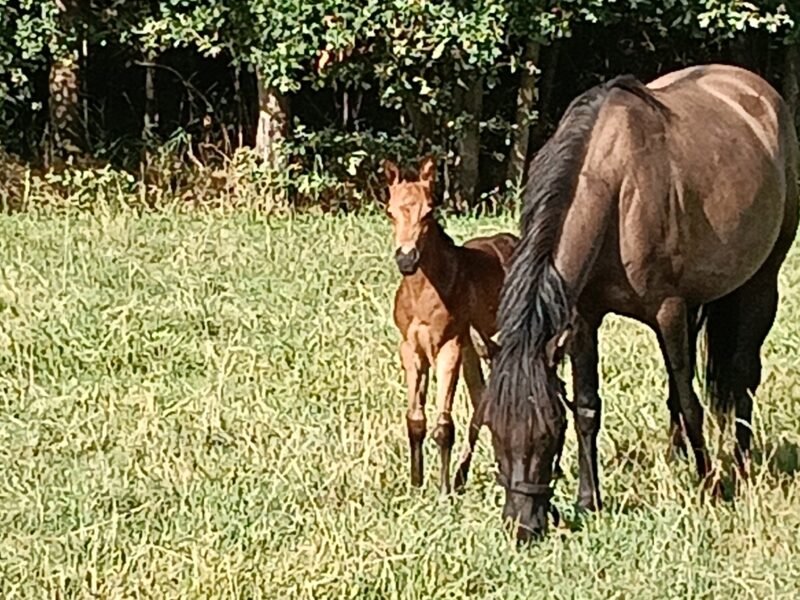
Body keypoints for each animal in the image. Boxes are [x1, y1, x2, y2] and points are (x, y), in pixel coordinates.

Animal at [384, 156, 518, 494]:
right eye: (390, 212)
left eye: (429, 211)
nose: (406, 259)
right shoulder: (411, 348)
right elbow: (415, 420)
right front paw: (416, 484)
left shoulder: (449, 346)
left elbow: (443, 425)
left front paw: (443, 490)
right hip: (477, 346)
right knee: (484, 399)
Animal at [483, 64, 799, 542]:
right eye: (493, 429)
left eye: (548, 431)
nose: (522, 526)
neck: (616, 189)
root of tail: (759, 91)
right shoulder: (583, 317)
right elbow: (589, 405)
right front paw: (589, 500)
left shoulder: (668, 309)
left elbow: (690, 401)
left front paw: (711, 485)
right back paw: (680, 455)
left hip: (759, 283)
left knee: (743, 373)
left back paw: (741, 466)